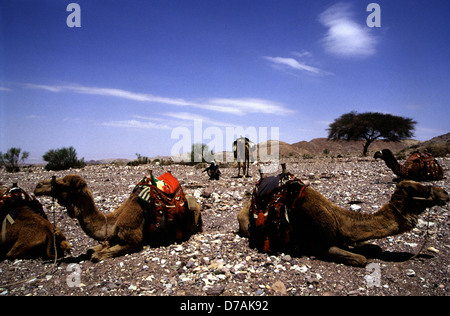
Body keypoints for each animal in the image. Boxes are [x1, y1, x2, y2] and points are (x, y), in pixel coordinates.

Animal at [34, 173, 203, 262]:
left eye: (64, 184)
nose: (37, 187)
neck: (111, 222)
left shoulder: (132, 239)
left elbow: (96, 255)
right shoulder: (111, 237)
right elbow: (91, 249)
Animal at [237, 178, 448, 266]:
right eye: (419, 189)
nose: (445, 193)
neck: (341, 221)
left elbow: (373, 248)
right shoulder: (319, 245)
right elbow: (361, 259)